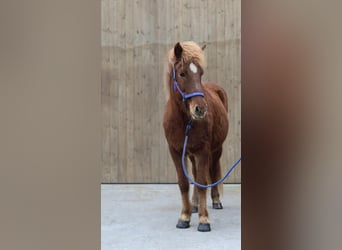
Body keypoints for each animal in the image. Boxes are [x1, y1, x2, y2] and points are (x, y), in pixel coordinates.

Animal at [164, 41, 230, 232]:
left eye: (200, 73)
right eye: (182, 73)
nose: (200, 109)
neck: (184, 121)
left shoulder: (203, 151)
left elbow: (201, 182)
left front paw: (203, 220)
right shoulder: (176, 151)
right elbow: (184, 183)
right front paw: (184, 216)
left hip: (216, 150)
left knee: (213, 170)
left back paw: (215, 201)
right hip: (192, 154)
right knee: (193, 173)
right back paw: (193, 205)